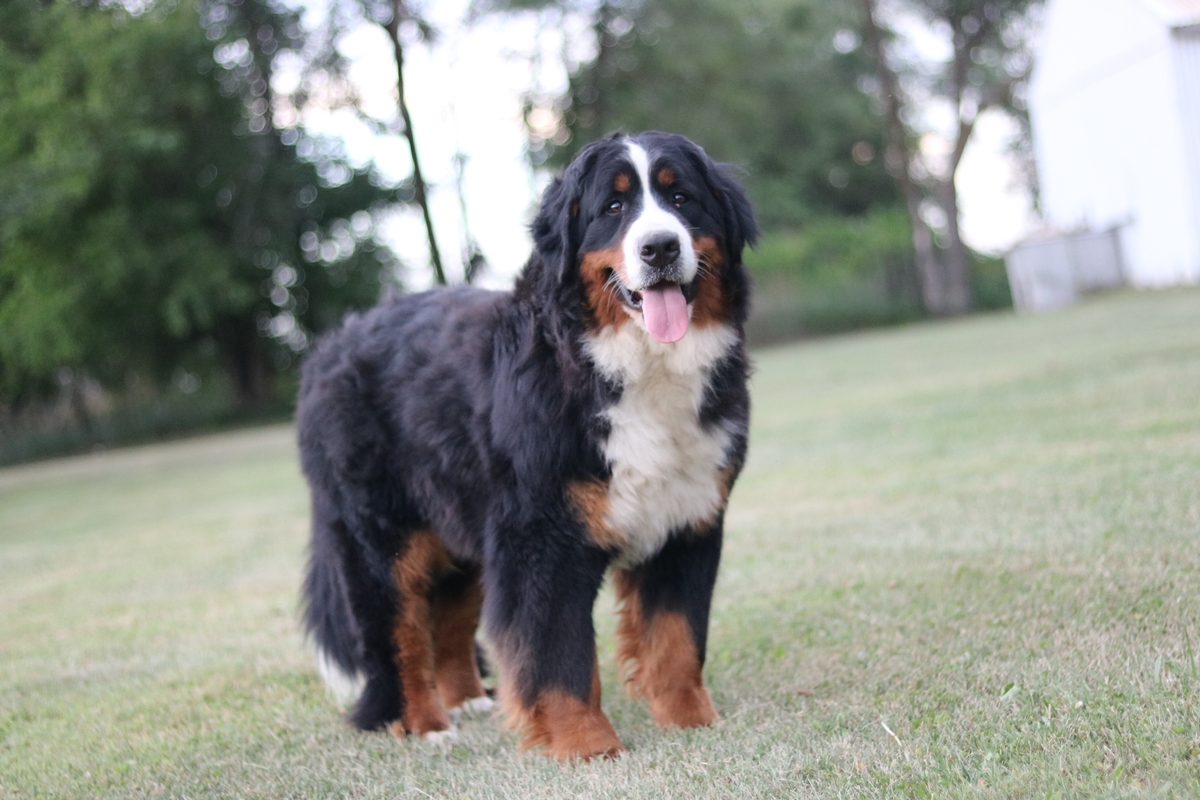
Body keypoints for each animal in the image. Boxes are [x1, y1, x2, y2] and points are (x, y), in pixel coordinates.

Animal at [295, 128, 753, 762]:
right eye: (614, 207)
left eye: (681, 198)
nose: (660, 247)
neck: (630, 368)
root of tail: (329, 347)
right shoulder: (542, 533)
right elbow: (557, 651)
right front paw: (587, 746)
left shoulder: (685, 520)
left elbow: (677, 637)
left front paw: (692, 721)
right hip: (382, 538)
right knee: (396, 632)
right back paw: (423, 722)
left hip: (458, 523)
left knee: (448, 617)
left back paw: (467, 698)